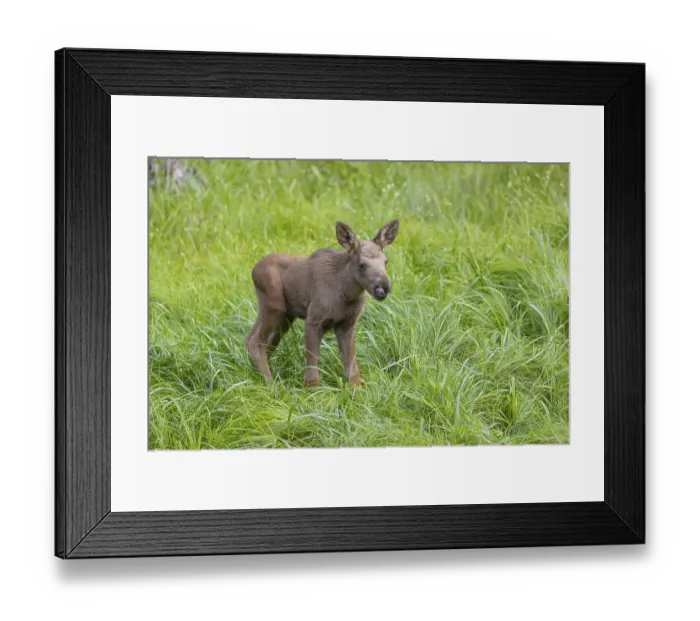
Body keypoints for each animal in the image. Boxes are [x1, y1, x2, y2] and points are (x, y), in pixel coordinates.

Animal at [245, 220, 400, 387]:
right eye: (361, 265)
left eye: (386, 262)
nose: (383, 288)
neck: (347, 295)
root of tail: (253, 271)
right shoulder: (313, 320)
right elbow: (312, 373)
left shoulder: (347, 324)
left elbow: (352, 370)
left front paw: (357, 389)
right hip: (274, 304)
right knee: (255, 340)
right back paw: (271, 384)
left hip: (286, 316)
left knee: (259, 340)